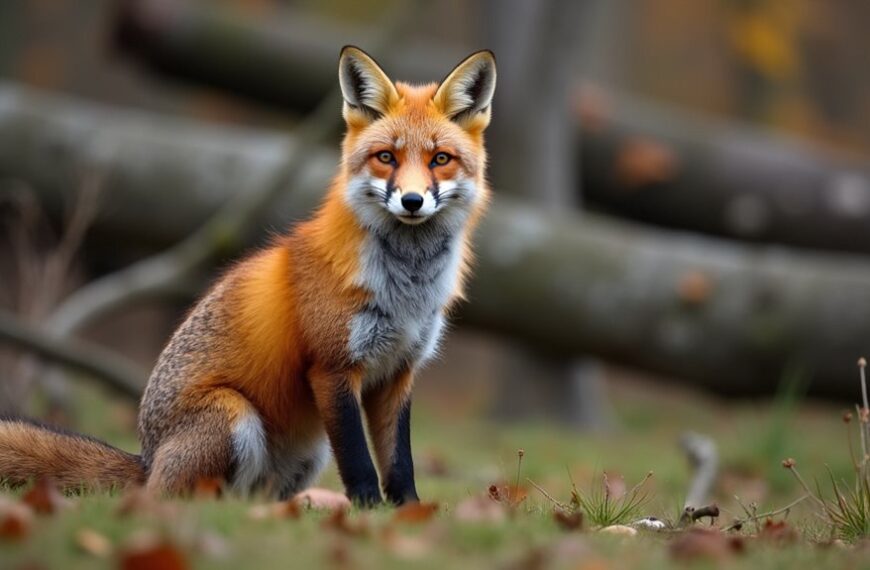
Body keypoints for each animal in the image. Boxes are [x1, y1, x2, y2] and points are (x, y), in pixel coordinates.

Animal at [0, 46, 496, 506]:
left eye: (440, 159)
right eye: (386, 157)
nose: (412, 201)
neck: (407, 290)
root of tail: (147, 459)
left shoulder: (398, 373)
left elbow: (400, 462)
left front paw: (408, 514)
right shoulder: (332, 368)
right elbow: (359, 462)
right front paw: (369, 512)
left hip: (307, 453)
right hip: (234, 415)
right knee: (184, 499)